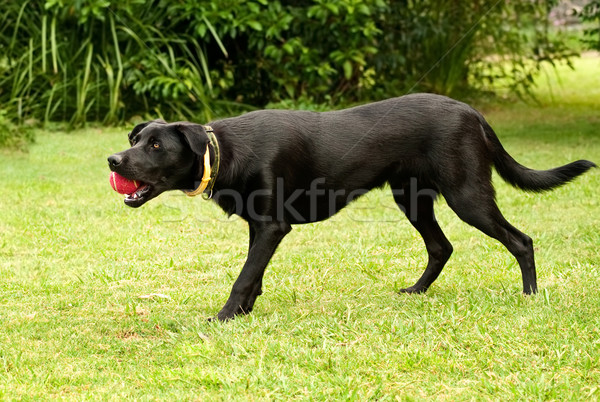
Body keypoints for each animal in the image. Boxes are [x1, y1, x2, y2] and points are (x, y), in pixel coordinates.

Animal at [109, 93, 596, 320]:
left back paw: (530, 296)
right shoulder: (259, 226)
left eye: (155, 145)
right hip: (411, 197)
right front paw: (245, 313)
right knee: (441, 247)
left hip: (467, 196)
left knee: (521, 240)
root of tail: (471, 111)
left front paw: (225, 317)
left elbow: (244, 276)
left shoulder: (271, 227)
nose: (113, 160)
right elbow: (254, 275)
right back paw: (416, 291)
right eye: (136, 139)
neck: (223, 151)